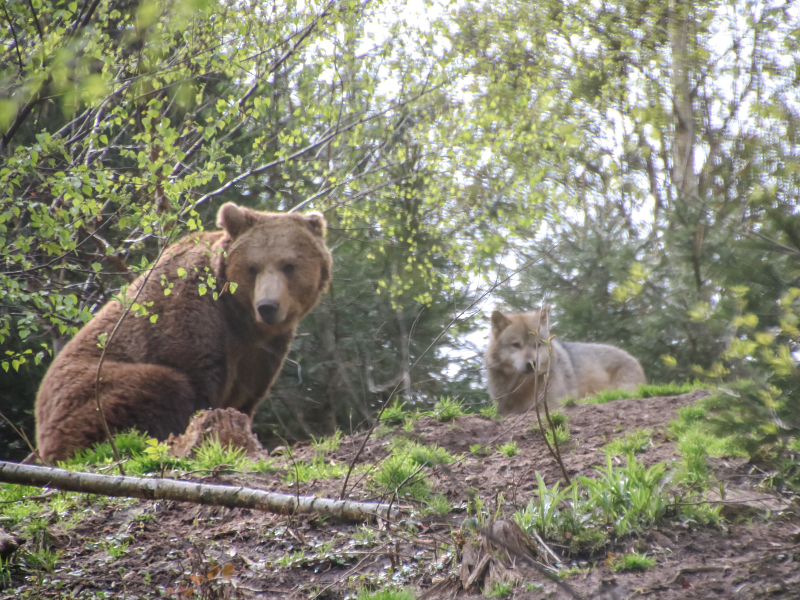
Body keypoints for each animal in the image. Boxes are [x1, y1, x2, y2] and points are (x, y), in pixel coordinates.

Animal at [35, 204, 332, 462]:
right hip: (85, 391)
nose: (268, 306)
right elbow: (196, 379)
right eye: (252, 267)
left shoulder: (262, 350)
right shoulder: (190, 314)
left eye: (289, 266)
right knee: (159, 384)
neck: (239, 318)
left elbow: (247, 395)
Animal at [484, 308, 648, 414]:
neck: (523, 387)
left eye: (537, 345)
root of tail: (633, 358)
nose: (532, 363)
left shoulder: (551, 406)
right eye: (516, 345)